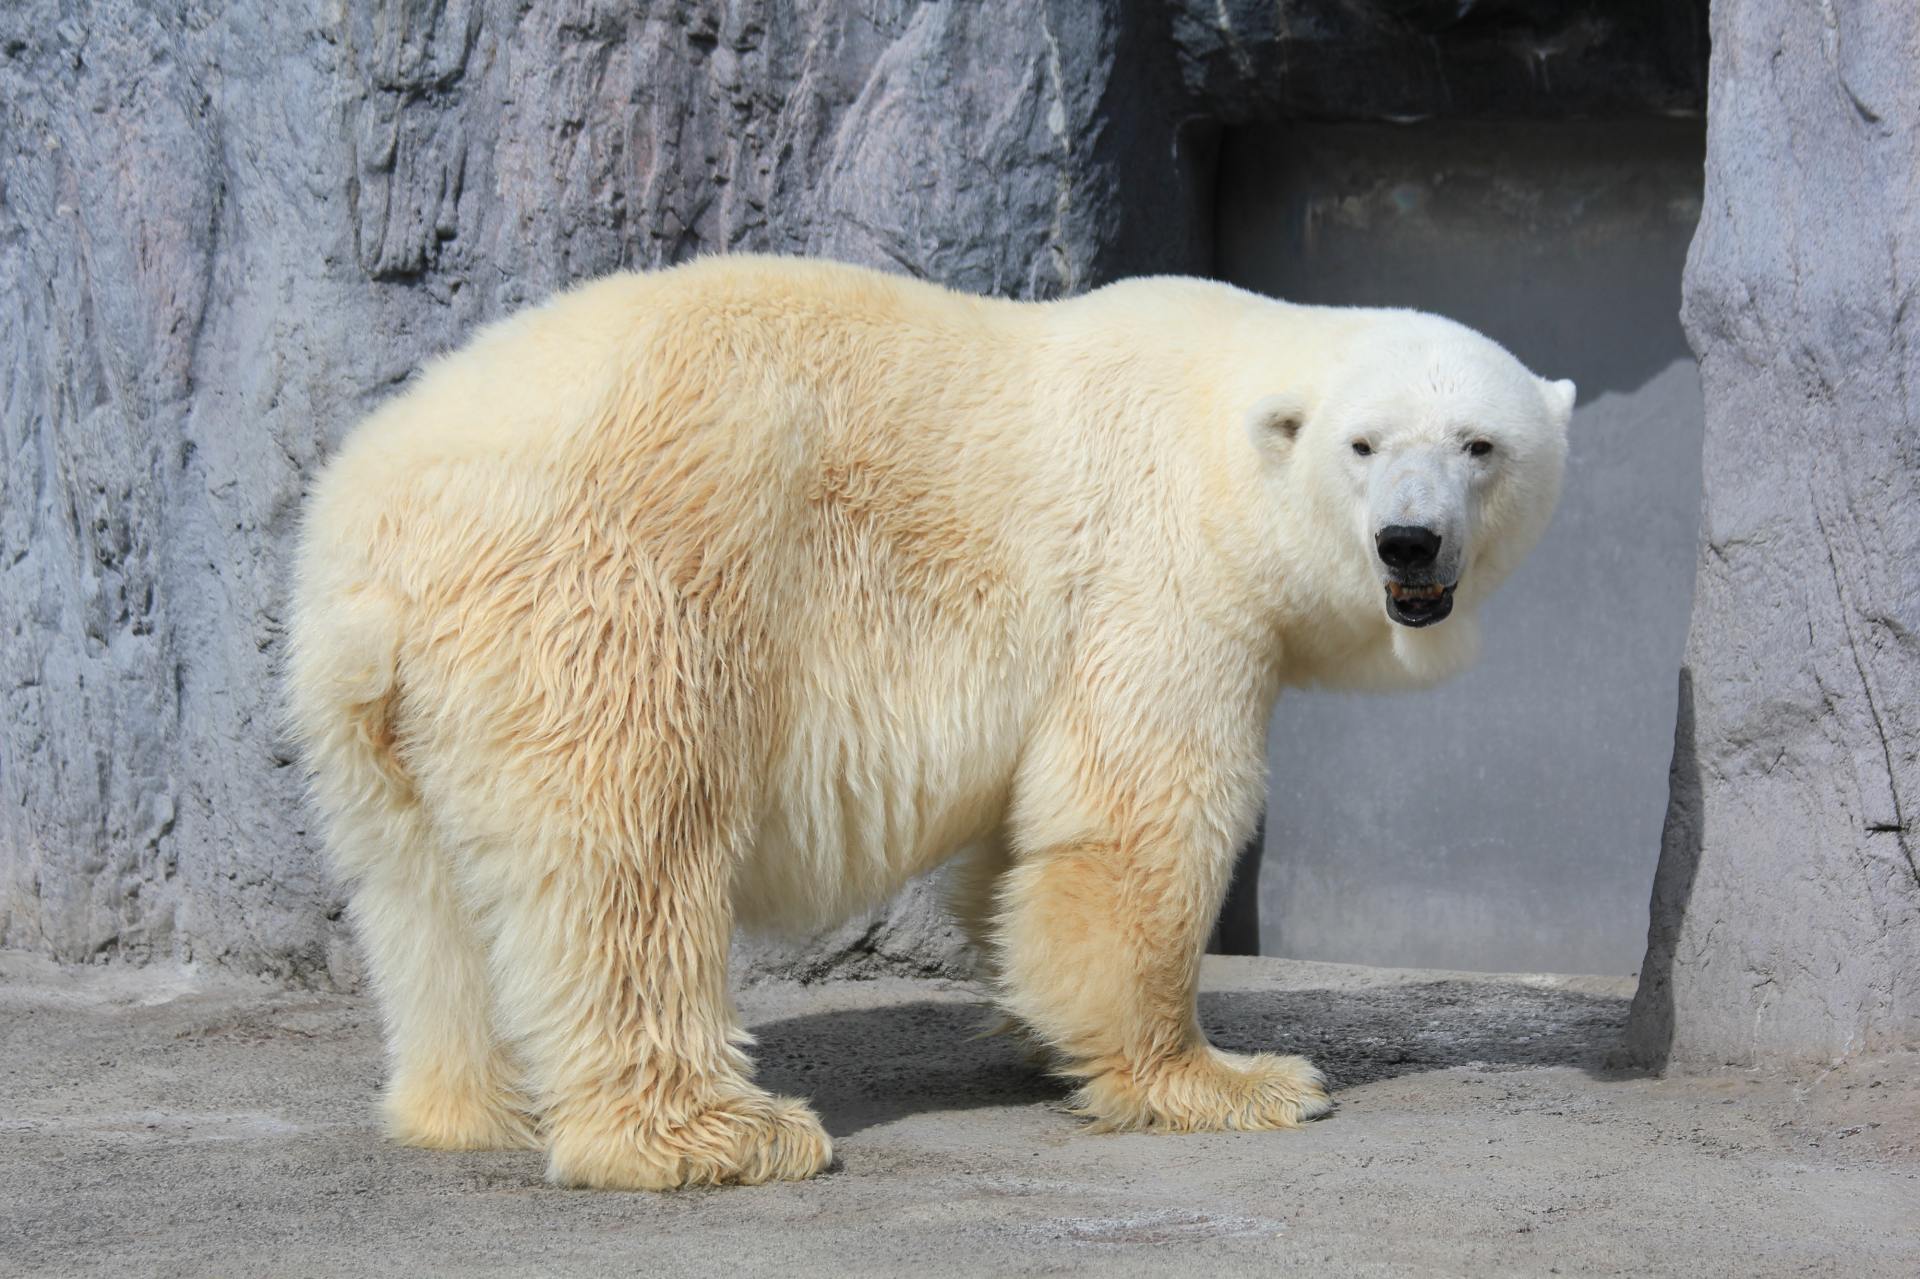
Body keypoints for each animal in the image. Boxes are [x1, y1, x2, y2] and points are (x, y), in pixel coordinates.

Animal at [288, 253, 1574, 1190]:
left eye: (1482, 445)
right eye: (1364, 445)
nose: (1410, 542)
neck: (1223, 413)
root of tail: (385, 530)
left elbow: (1024, 848)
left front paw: (1040, 1019)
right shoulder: (1158, 570)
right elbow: (1137, 819)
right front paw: (1233, 1079)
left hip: (372, 703)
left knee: (425, 890)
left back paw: (477, 1107)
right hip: (613, 597)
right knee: (632, 855)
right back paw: (719, 1133)